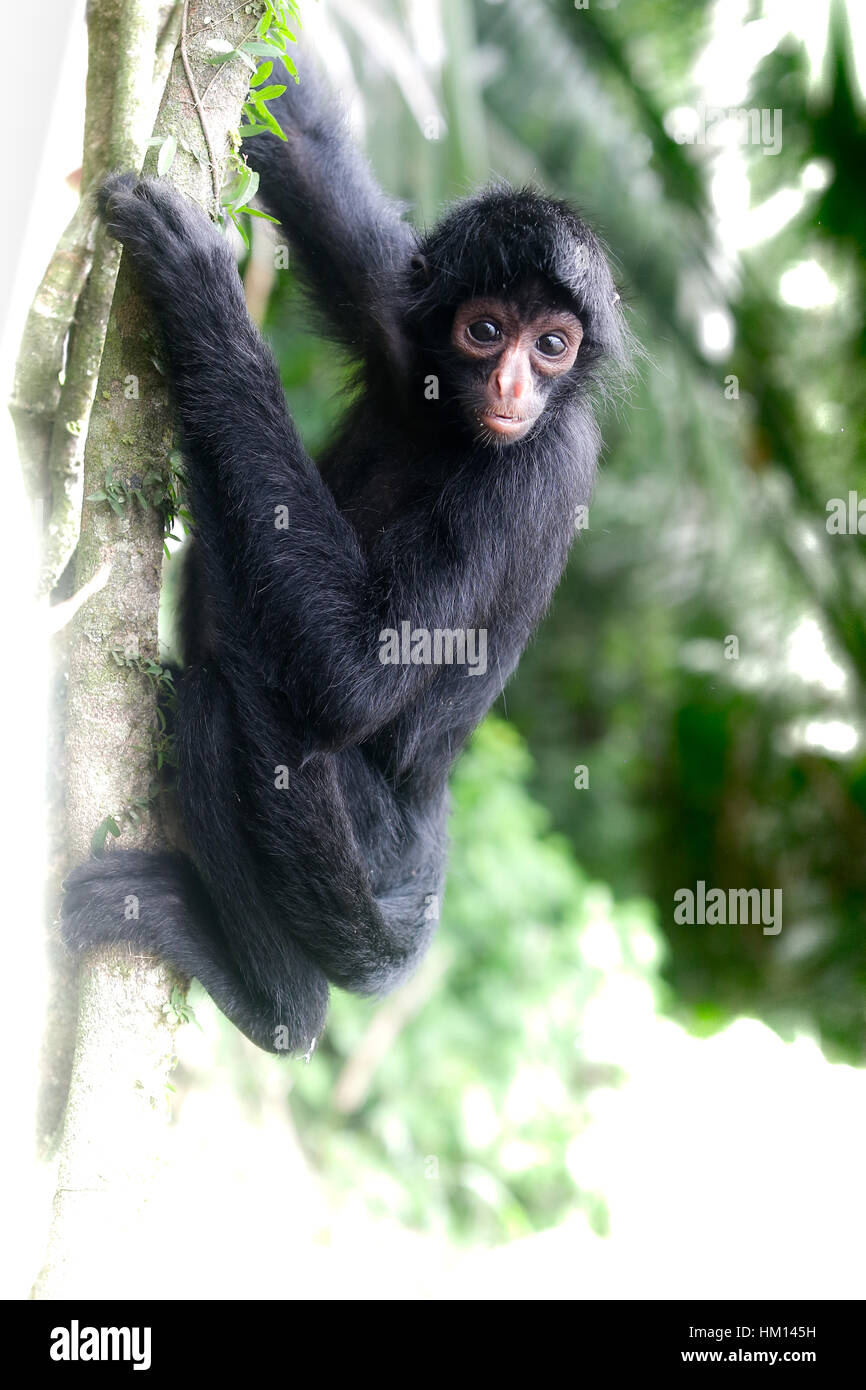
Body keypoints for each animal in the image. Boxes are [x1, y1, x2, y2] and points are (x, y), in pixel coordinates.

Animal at [62, 54, 631, 1050]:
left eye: (554, 346)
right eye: (487, 331)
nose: (514, 384)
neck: (452, 428)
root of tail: (426, 822)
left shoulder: (540, 465)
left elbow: (355, 673)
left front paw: (201, 285)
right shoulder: (399, 320)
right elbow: (303, 144)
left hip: (365, 832)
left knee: (217, 701)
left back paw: (274, 999)